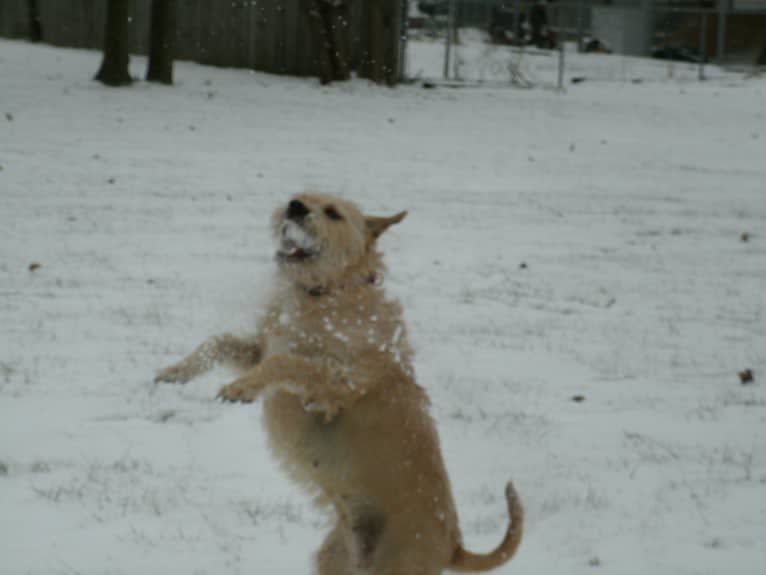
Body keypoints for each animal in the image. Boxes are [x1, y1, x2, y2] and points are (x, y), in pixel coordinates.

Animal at [158, 195, 524, 575]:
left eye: (333, 213)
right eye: (301, 195)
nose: (294, 205)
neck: (328, 293)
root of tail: (454, 544)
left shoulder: (338, 384)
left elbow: (287, 362)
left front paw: (240, 388)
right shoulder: (259, 348)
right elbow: (220, 343)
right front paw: (177, 370)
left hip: (397, 563)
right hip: (335, 556)